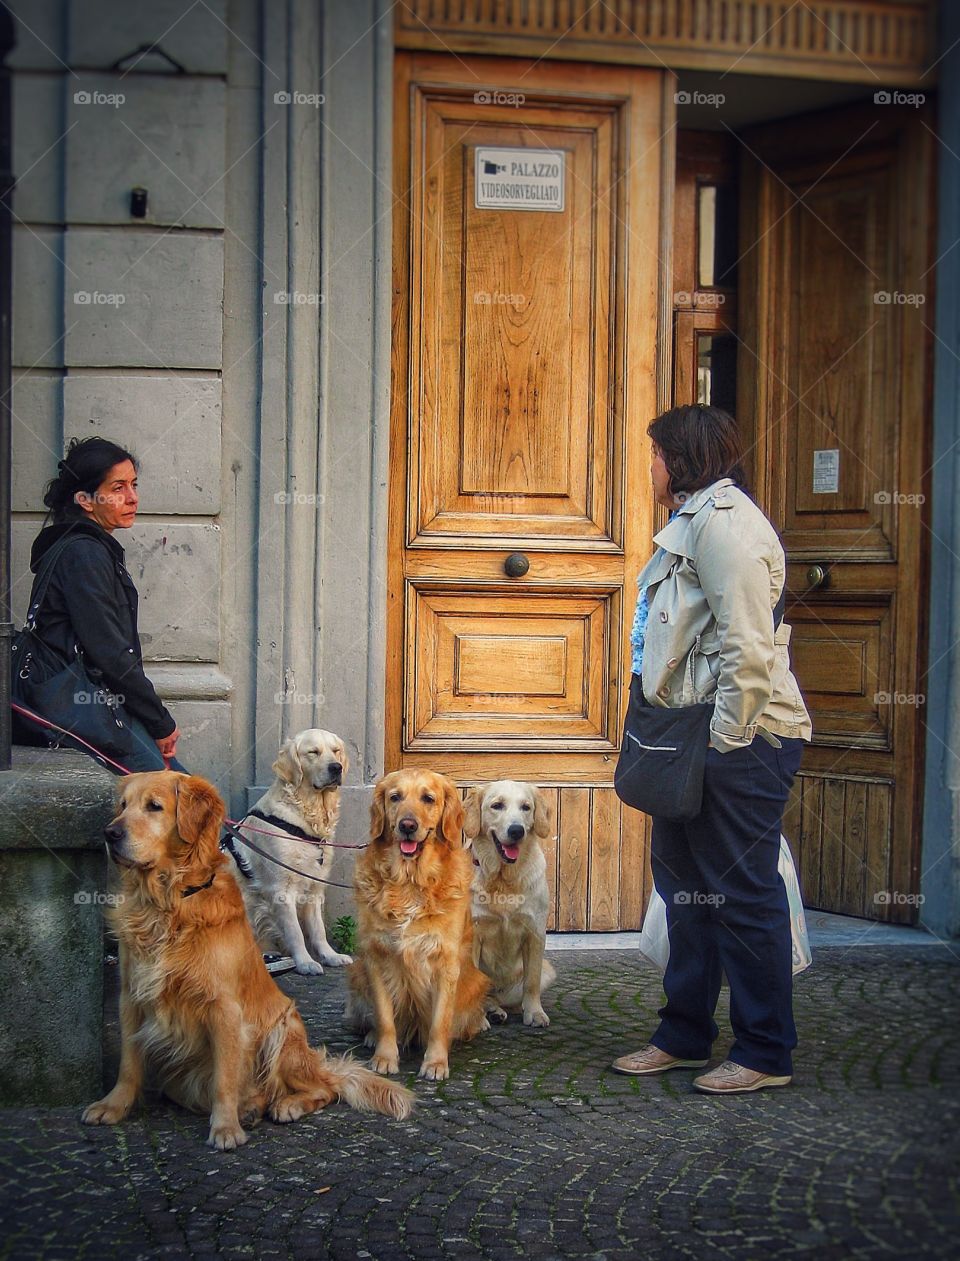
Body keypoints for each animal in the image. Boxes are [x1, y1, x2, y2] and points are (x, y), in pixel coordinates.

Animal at [228, 731, 353, 973]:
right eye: (313, 752)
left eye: (336, 751)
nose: (336, 767)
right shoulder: (281, 889)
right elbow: (295, 932)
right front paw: (305, 962)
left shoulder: (314, 887)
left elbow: (318, 929)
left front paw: (330, 956)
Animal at [461, 776, 555, 1034]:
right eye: (497, 806)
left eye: (526, 807)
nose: (516, 830)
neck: (503, 880)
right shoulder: (473, 934)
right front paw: (476, 1020)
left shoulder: (535, 932)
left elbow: (531, 982)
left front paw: (535, 1013)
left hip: (547, 970)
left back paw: (497, 1010)